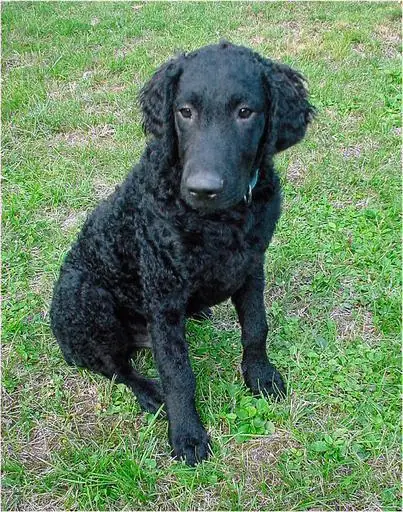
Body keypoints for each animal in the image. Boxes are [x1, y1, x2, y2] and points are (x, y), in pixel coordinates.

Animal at [50, 42, 316, 466]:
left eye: (245, 112)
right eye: (184, 111)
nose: (202, 189)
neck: (218, 219)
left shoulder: (251, 265)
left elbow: (256, 327)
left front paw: (259, 375)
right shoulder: (163, 292)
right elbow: (178, 372)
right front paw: (187, 434)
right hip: (86, 299)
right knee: (114, 365)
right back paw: (148, 392)